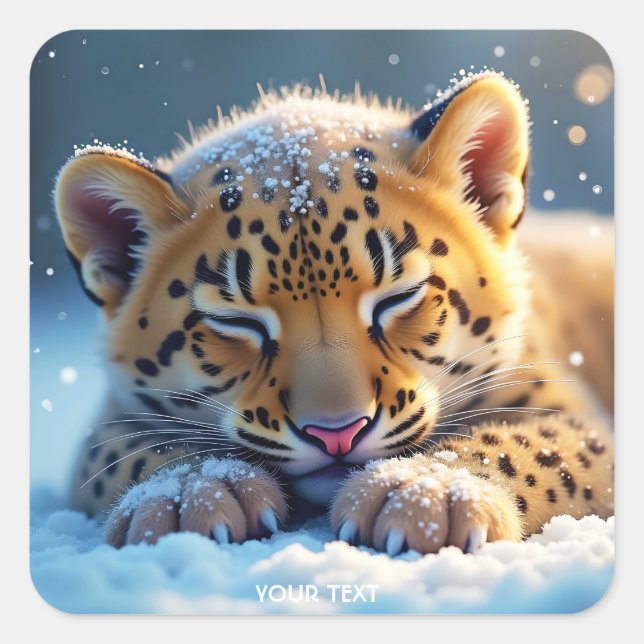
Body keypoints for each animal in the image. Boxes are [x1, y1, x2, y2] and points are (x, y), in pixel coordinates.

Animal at [53, 71, 613, 556]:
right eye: (237, 323)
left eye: (398, 297)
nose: (337, 433)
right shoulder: (108, 422)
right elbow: (121, 453)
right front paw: (191, 492)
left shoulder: (572, 413)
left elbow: (532, 444)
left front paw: (426, 493)